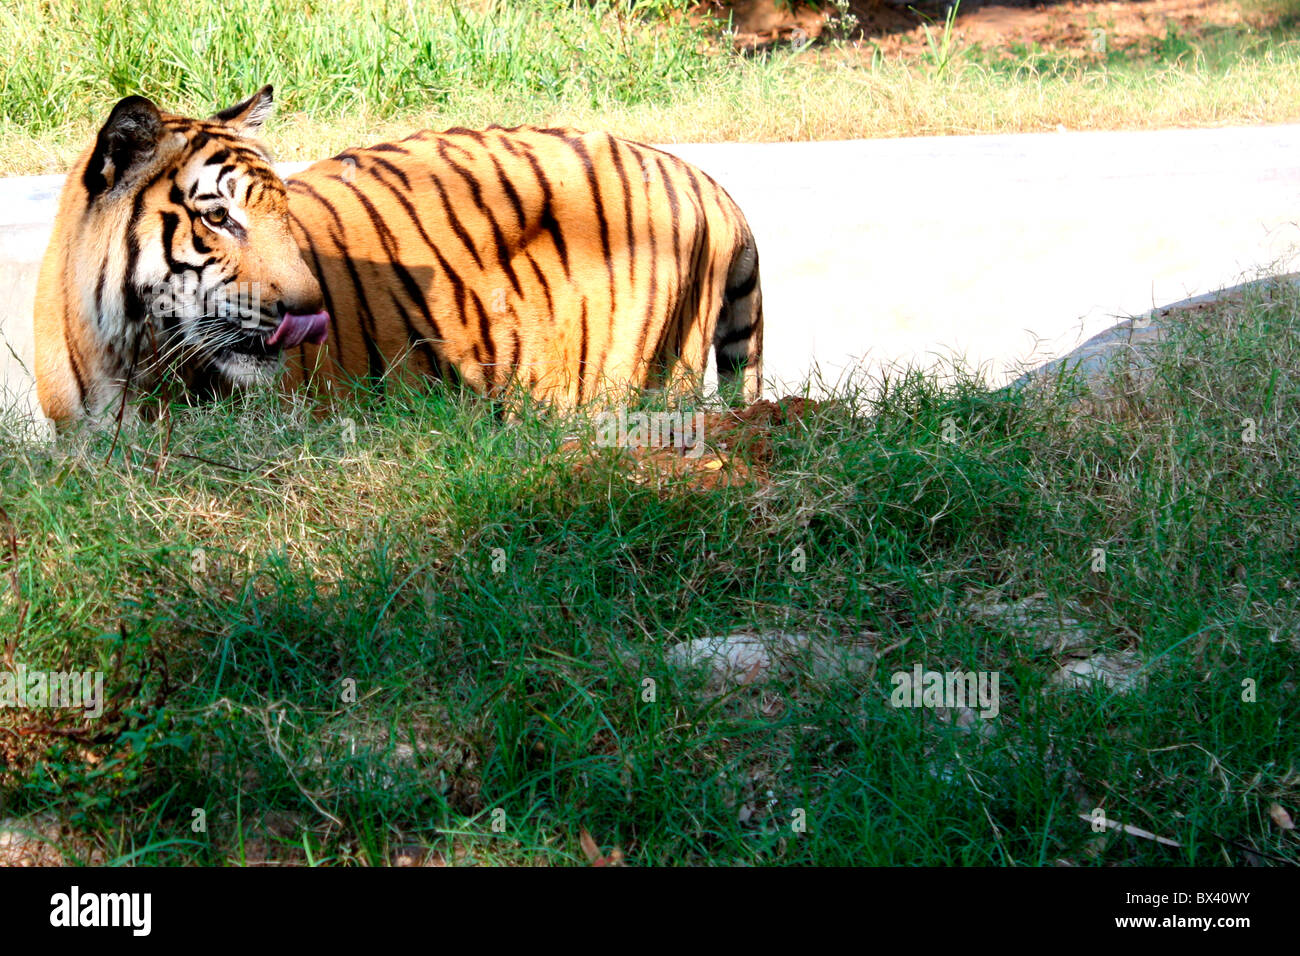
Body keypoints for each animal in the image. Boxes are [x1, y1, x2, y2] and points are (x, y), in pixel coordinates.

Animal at [34, 85, 764, 427]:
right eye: (218, 218)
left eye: (282, 213)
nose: (312, 315)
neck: (122, 355)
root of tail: (704, 179)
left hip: (631, 386)